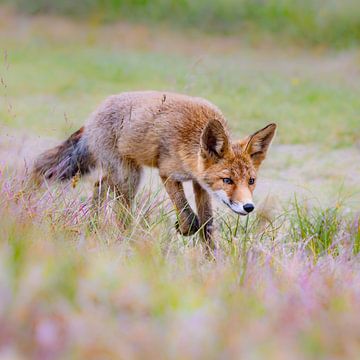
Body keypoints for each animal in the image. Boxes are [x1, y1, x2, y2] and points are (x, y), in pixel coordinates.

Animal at [32, 90, 278, 248]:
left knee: (98, 185)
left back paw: (93, 226)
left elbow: (207, 226)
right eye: (227, 180)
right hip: (129, 177)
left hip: (123, 172)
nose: (248, 207)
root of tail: (95, 114)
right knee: (120, 210)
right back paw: (127, 242)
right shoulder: (167, 173)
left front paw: (211, 263)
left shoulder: (199, 183)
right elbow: (190, 219)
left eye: (251, 181)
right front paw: (183, 228)